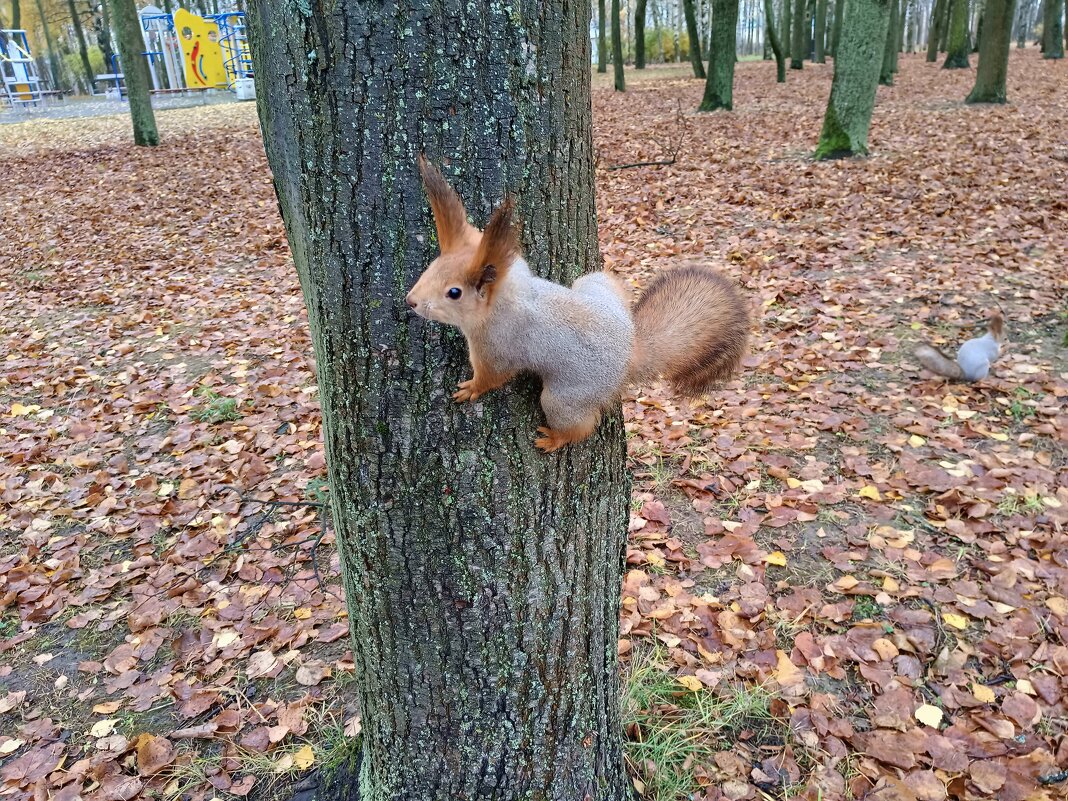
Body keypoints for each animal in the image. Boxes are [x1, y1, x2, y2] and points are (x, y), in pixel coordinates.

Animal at [405, 158, 751, 452]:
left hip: (566, 396)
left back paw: (554, 438)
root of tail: (629, 352)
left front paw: (471, 389)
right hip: (594, 284)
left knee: (580, 425)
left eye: (454, 293)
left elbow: (493, 376)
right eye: (431, 268)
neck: (508, 297)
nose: (411, 301)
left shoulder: (498, 346)